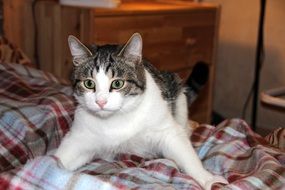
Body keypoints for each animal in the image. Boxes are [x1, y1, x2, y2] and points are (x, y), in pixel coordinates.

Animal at [54, 33, 225, 189]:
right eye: (89, 83)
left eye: (117, 83)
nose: (100, 101)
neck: (115, 120)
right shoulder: (79, 137)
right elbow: (60, 158)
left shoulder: (167, 130)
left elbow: (186, 153)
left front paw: (208, 178)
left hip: (178, 94)